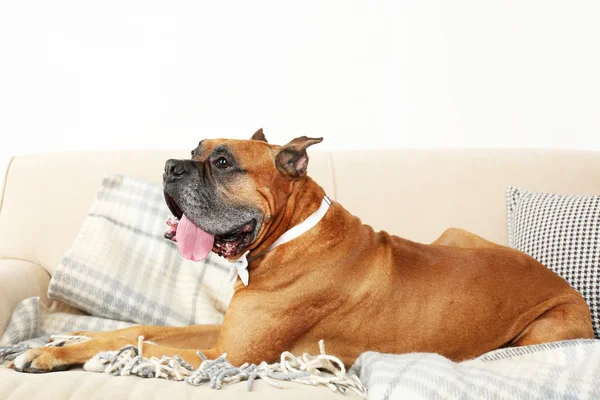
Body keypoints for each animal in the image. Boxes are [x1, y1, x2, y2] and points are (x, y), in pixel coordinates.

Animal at [10, 130, 596, 372]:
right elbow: (139, 329)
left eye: (222, 162)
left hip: (544, 331)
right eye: (195, 150)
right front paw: (68, 336)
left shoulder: (230, 353)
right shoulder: (223, 333)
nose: (170, 165)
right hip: (454, 234)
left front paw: (58, 353)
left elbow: (143, 345)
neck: (290, 235)